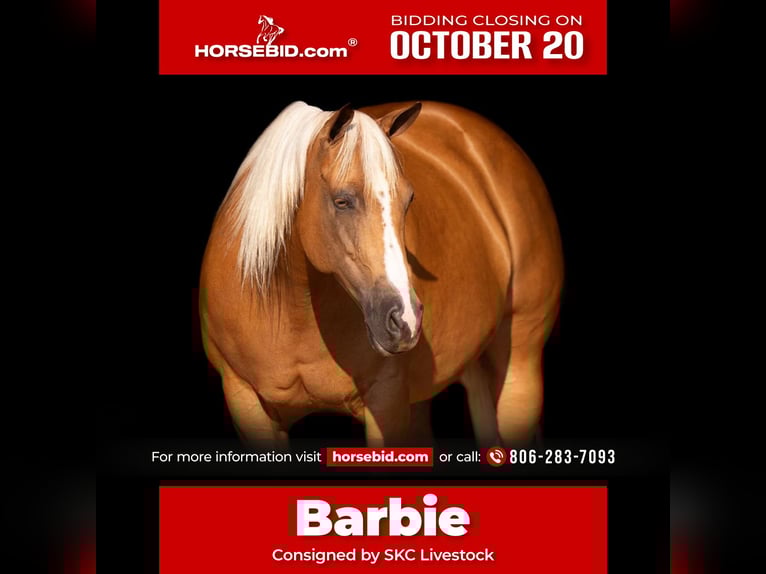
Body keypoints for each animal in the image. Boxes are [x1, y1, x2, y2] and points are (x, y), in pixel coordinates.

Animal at [199, 101, 563, 449]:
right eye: (342, 201)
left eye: (409, 199)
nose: (405, 320)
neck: (291, 311)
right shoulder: (246, 402)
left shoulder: (386, 402)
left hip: (519, 370)